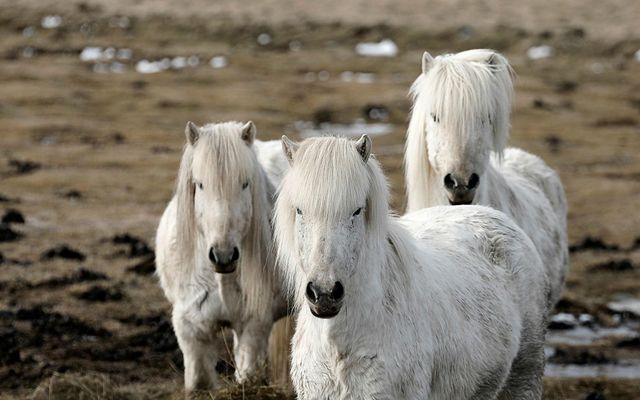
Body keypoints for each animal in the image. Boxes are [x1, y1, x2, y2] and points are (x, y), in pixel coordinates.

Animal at [155, 120, 288, 392]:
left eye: (245, 184)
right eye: (199, 184)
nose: (223, 255)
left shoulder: (253, 326)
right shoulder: (192, 330)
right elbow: (200, 382)